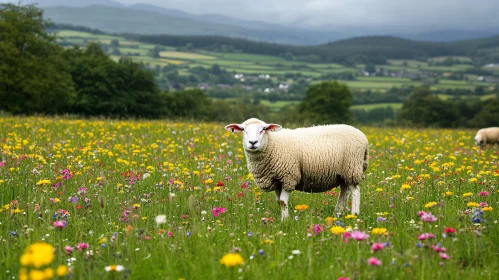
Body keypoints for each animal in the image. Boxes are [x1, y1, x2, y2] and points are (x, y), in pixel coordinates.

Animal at [225, 117, 370, 220]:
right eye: (243, 129)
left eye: (263, 129)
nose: (253, 142)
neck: (272, 144)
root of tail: (363, 136)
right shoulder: (276, 180)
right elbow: (279, 201)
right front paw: (283, 218)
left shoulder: (288, 176)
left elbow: (283, 201)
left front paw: (285, 221)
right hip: (342, 173)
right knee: (344, 191)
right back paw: (338, 213)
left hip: (352, 167)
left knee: (355, 191)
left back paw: (354, 214)